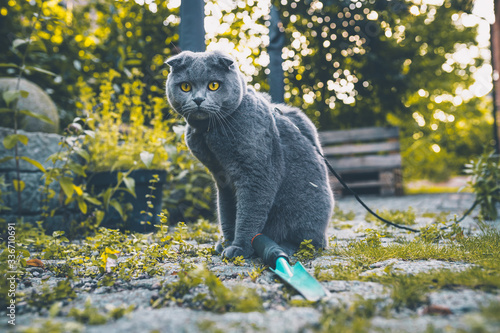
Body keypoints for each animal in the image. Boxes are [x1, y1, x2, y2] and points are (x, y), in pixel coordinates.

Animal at [166, 50, 334, 258]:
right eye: (185, 86)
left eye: (214, 85)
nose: (198, 100)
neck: (208, 132)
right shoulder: (222, 179)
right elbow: (227, 213)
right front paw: (227, 242)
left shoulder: (256, 174)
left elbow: (248, 214)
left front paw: (239, 247)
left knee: (309, 242)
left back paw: (285, 246)